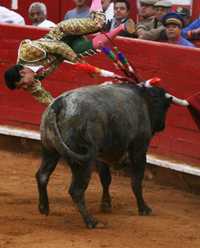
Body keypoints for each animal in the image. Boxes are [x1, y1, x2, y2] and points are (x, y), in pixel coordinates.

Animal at [35, 81, 183, 229]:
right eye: (166, 106)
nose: (162, 125)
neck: (144, 98)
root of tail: (59, 104)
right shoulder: (139, 149)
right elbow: (136, 180)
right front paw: (144, 209)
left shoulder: (102, 156)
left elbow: (106, 179)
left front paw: (106, 205)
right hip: (83, 162)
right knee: (76, 190)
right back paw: (91, 221)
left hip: (50, 150)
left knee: (42, 176)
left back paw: (44, 208)